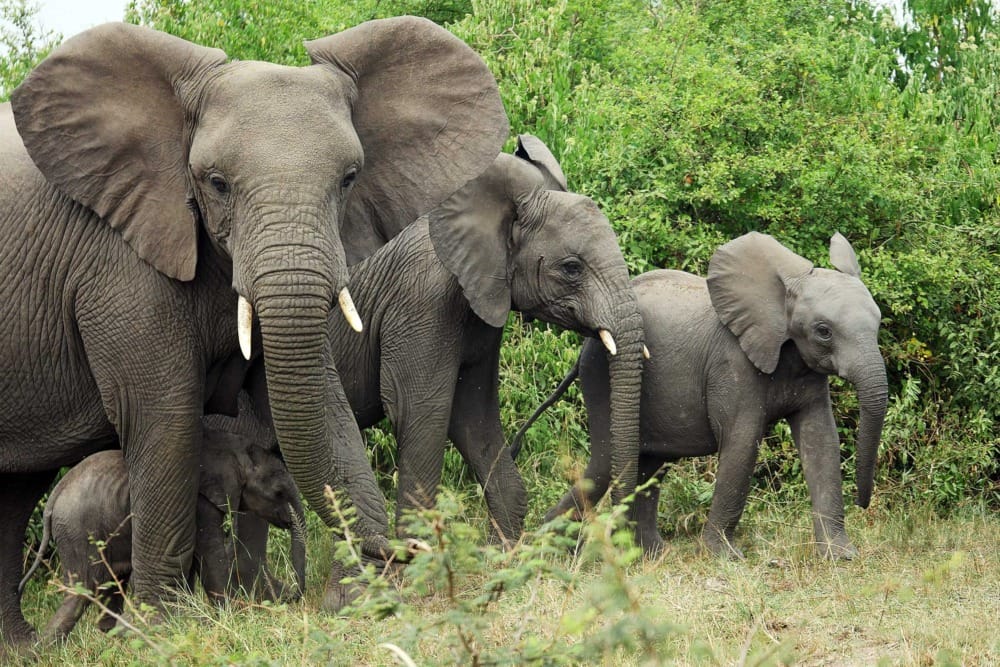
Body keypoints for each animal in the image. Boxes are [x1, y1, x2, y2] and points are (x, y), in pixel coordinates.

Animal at [17, 427, 306, 641]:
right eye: (278, 491)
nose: (292, 596)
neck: (235, 449)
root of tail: (53, 499)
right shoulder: (200, 502)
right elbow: (209, 554)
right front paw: (228, 617)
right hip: (78, 530)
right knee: (83, 589)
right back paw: (43, 648)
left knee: (112, 584)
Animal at [513, 232, 888, 559]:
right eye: (823, 331)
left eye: (879, 323)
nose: (863, 503)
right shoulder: (732, 364)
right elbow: (742, 443)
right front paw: (725, 558)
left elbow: (821, 442)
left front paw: (841, 558)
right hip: (599, 375)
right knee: (606, 462)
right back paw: (550, 550)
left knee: (650, 466)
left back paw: (651, 555)